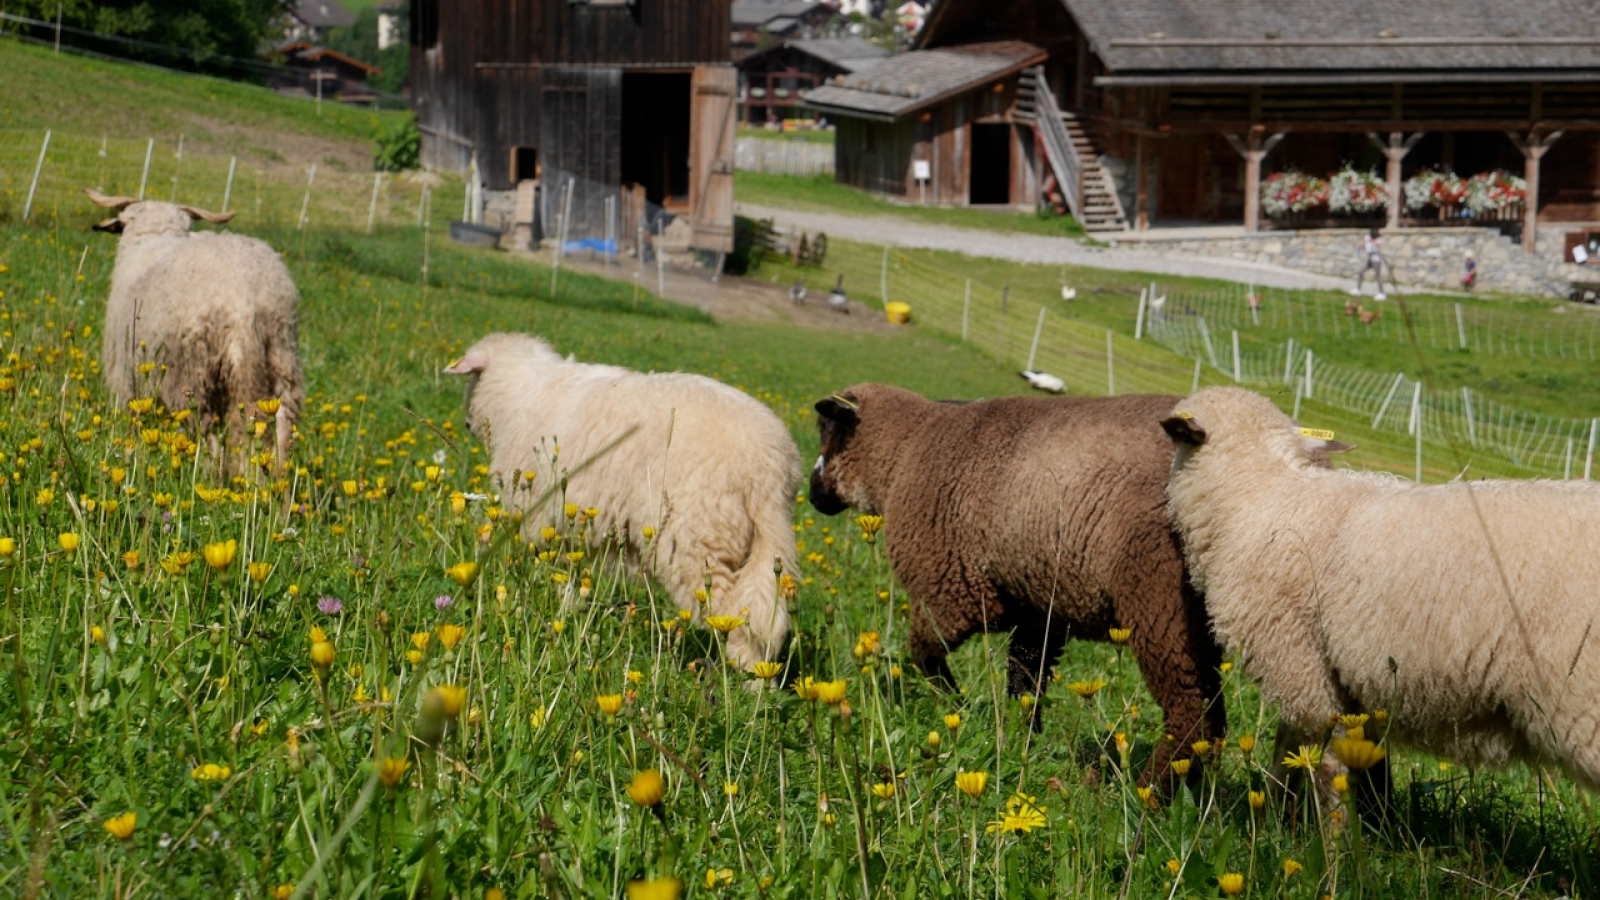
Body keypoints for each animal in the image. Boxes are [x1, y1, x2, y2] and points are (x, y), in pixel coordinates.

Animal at [86, 189, 302, 470]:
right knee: (282, 432)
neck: (154, 238)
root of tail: (244, 304)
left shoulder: (127, 381)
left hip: (191, 376)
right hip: (282, 360)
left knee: (208, 440)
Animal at [444, 333, 800, 662]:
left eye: (472, 379)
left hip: (697, 540)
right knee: (765, 607)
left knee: (735, 614)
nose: (467, 424)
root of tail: (769, 471)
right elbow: (571, 572)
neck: (519, 391)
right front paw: (570, 607)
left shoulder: (541, 516)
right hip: (760, 539)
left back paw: (746, 672)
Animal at [812, 381, 1222, 781]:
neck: (903, 452)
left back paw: (1151, 788)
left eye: (827, 430)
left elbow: (926, 654)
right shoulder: (1035, 610)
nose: (813, 493)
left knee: (1189, 709)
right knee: (1213, 708)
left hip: (1159, 600)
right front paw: (1021, 738)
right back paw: (1200, 785)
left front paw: (957, 706)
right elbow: (1025, 679)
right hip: (1198, 618)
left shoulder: (949, 591)